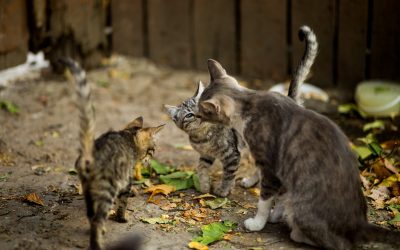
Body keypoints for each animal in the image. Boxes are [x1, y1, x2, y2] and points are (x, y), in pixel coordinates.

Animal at [61, 59, 164, 250]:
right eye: (152, 150)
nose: (150, 160)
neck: (128, 137)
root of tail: (90, 153)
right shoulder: (125, 178)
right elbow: (123, 201)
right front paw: (121, 217)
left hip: (88, 190)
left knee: (91, 215)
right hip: (106, 189)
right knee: (97, 220)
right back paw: (98, 243)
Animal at [164, 25, 318, 197]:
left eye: (201, 107)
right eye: (189, 115)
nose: (199, 116)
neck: (203, 137)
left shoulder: (232, 155)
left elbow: (228, 175)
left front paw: (223, 191)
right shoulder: (206, 156)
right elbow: (201, 169)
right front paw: (204, 186)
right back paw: (251, 181)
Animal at [196, 57, 400, 250]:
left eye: (200, 112)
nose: (196, 117)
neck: (248, 103)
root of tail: (360, 224)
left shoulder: (270, 167)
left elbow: (265, 200)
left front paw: (257, 222)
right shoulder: (286, 170)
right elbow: (280, 195)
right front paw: (275, 214)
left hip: (304, 206)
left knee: (339, 244)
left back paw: (296, 232)